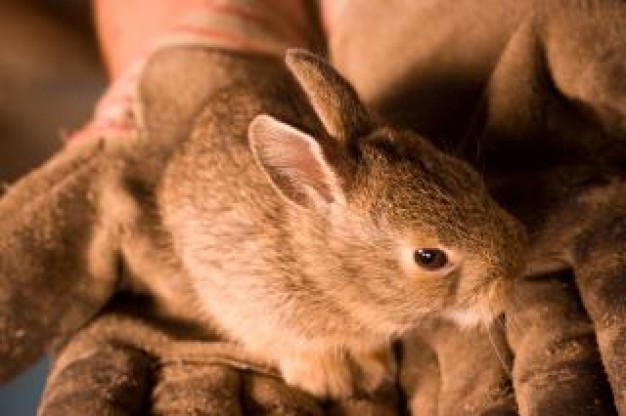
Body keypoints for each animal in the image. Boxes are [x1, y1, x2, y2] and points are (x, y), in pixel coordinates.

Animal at [158, 50, 524, 398]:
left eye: (470, 176)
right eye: (429, 258)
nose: (512, 272)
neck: (320, 268)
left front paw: (375, 367)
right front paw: (327, 381)